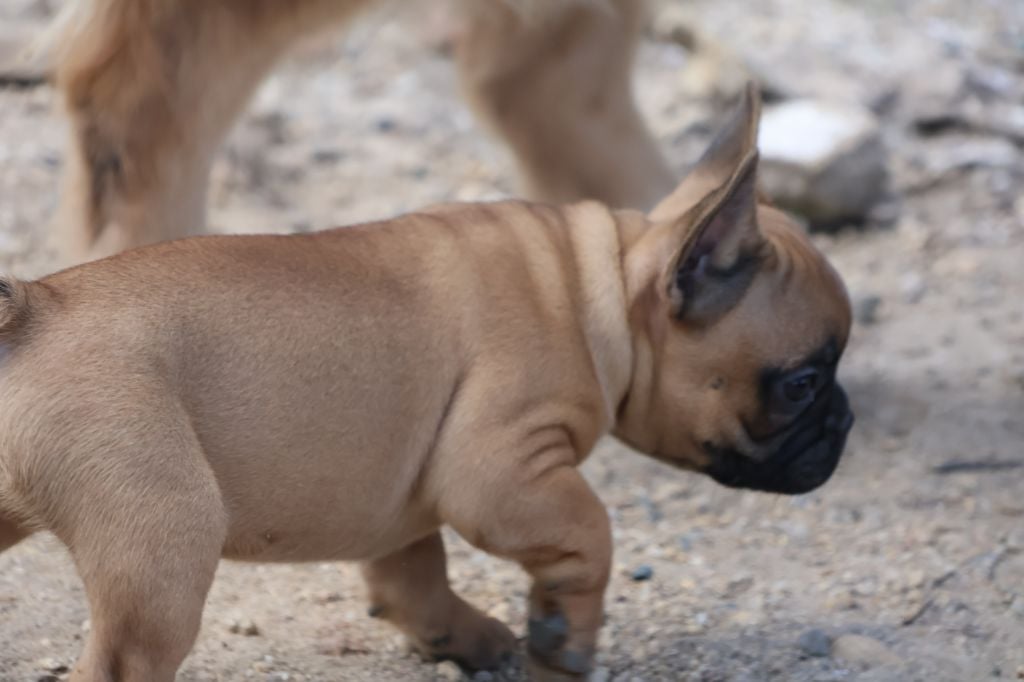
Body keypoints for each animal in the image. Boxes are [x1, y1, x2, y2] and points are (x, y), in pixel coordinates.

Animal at [0, 86, 851, 679]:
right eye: (803, 381)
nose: (843, 420)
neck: (598, 287)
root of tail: (35, 307)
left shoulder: (401, 507)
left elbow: (417, 579)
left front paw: (469, 638)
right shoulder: (504, 470)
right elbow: (590, 531)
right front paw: (563, 635)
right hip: (164, 536)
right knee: (121, 661)